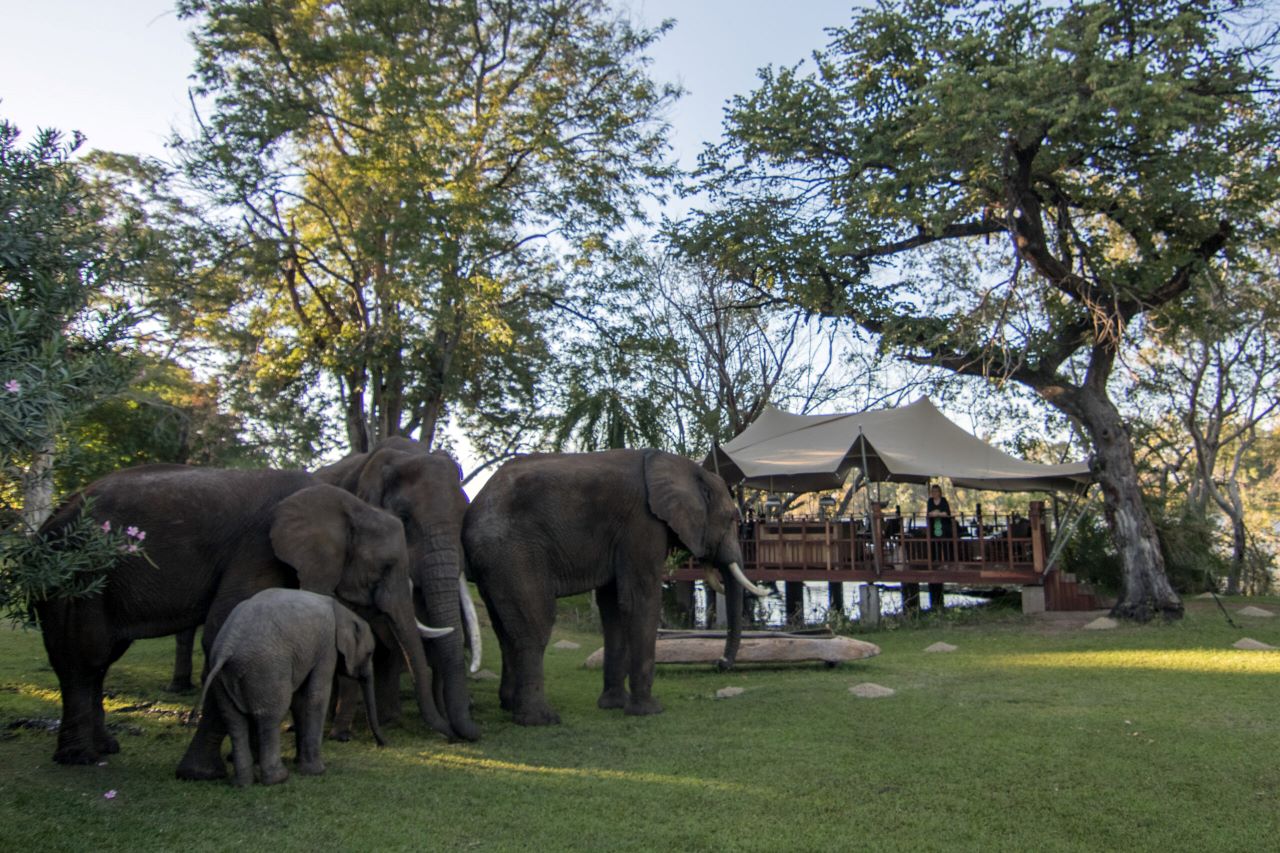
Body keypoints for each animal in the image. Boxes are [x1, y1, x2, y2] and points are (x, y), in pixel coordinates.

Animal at [201, 588, 384, 787]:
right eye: (370, 653)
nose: (381, 745)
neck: (343, 611)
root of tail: (227, 648)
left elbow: (299, 700)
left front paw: (300, 762)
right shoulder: (327, 648)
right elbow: (317, 695)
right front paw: (316, 771)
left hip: (222, 678)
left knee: (234, 721)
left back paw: (242, 783)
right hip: (267, 670)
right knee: (270, 717)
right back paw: (278, 778)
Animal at [463, 449, 768, 725]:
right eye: (731, 519)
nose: (720, 663)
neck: (680, 465)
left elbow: (613, 607)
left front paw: (614, 705)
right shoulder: (643, 523)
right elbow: (640, 599)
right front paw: (649, 710)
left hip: (495, 563)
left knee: (504, 630)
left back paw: (509, 705)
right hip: (513, 552)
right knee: (534, 627)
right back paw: (541, 720)